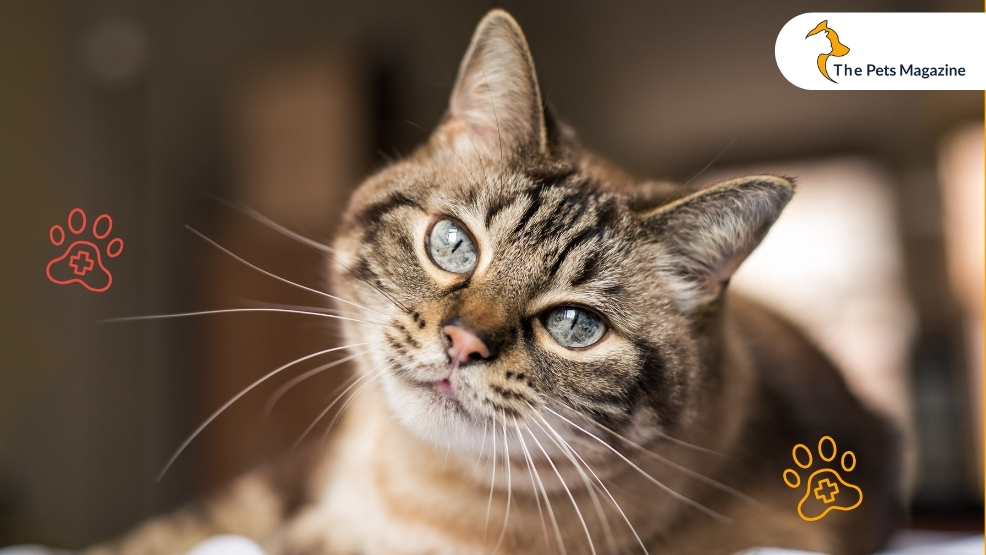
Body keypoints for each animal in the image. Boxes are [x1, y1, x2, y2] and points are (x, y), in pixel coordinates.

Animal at [90, 8, 900, 555]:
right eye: (453, 245)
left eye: (575, 325)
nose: (461, 342)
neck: (408, 492)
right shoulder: (288, 484)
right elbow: (166, 534)